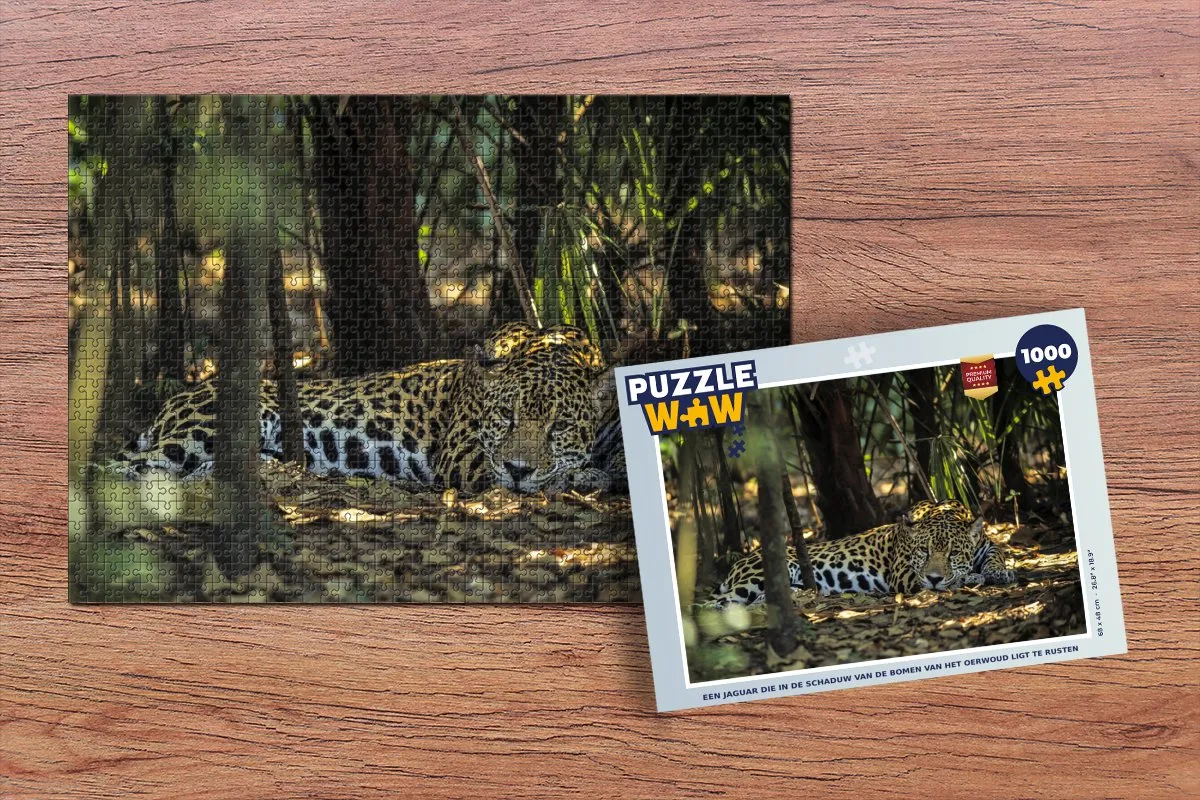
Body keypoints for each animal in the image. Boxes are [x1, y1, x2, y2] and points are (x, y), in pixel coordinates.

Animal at [117, 323, 622, 495]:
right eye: (506, 418)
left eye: (559, 426)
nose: (519, 468)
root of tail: (173, 399)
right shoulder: (463, 454)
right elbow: (539, 475)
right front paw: (582, 476)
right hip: (207, 427)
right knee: (128, 465)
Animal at [705, 500, 1016, 608]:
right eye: (923, 552)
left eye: (953, 553)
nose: (935, 578)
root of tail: (738, 564)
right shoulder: (903, 574)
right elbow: (944, 579)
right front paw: (970, 578)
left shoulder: (986, 544)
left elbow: (996, 552)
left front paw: (1000, 572)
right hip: (754, 577)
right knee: (715, 603)